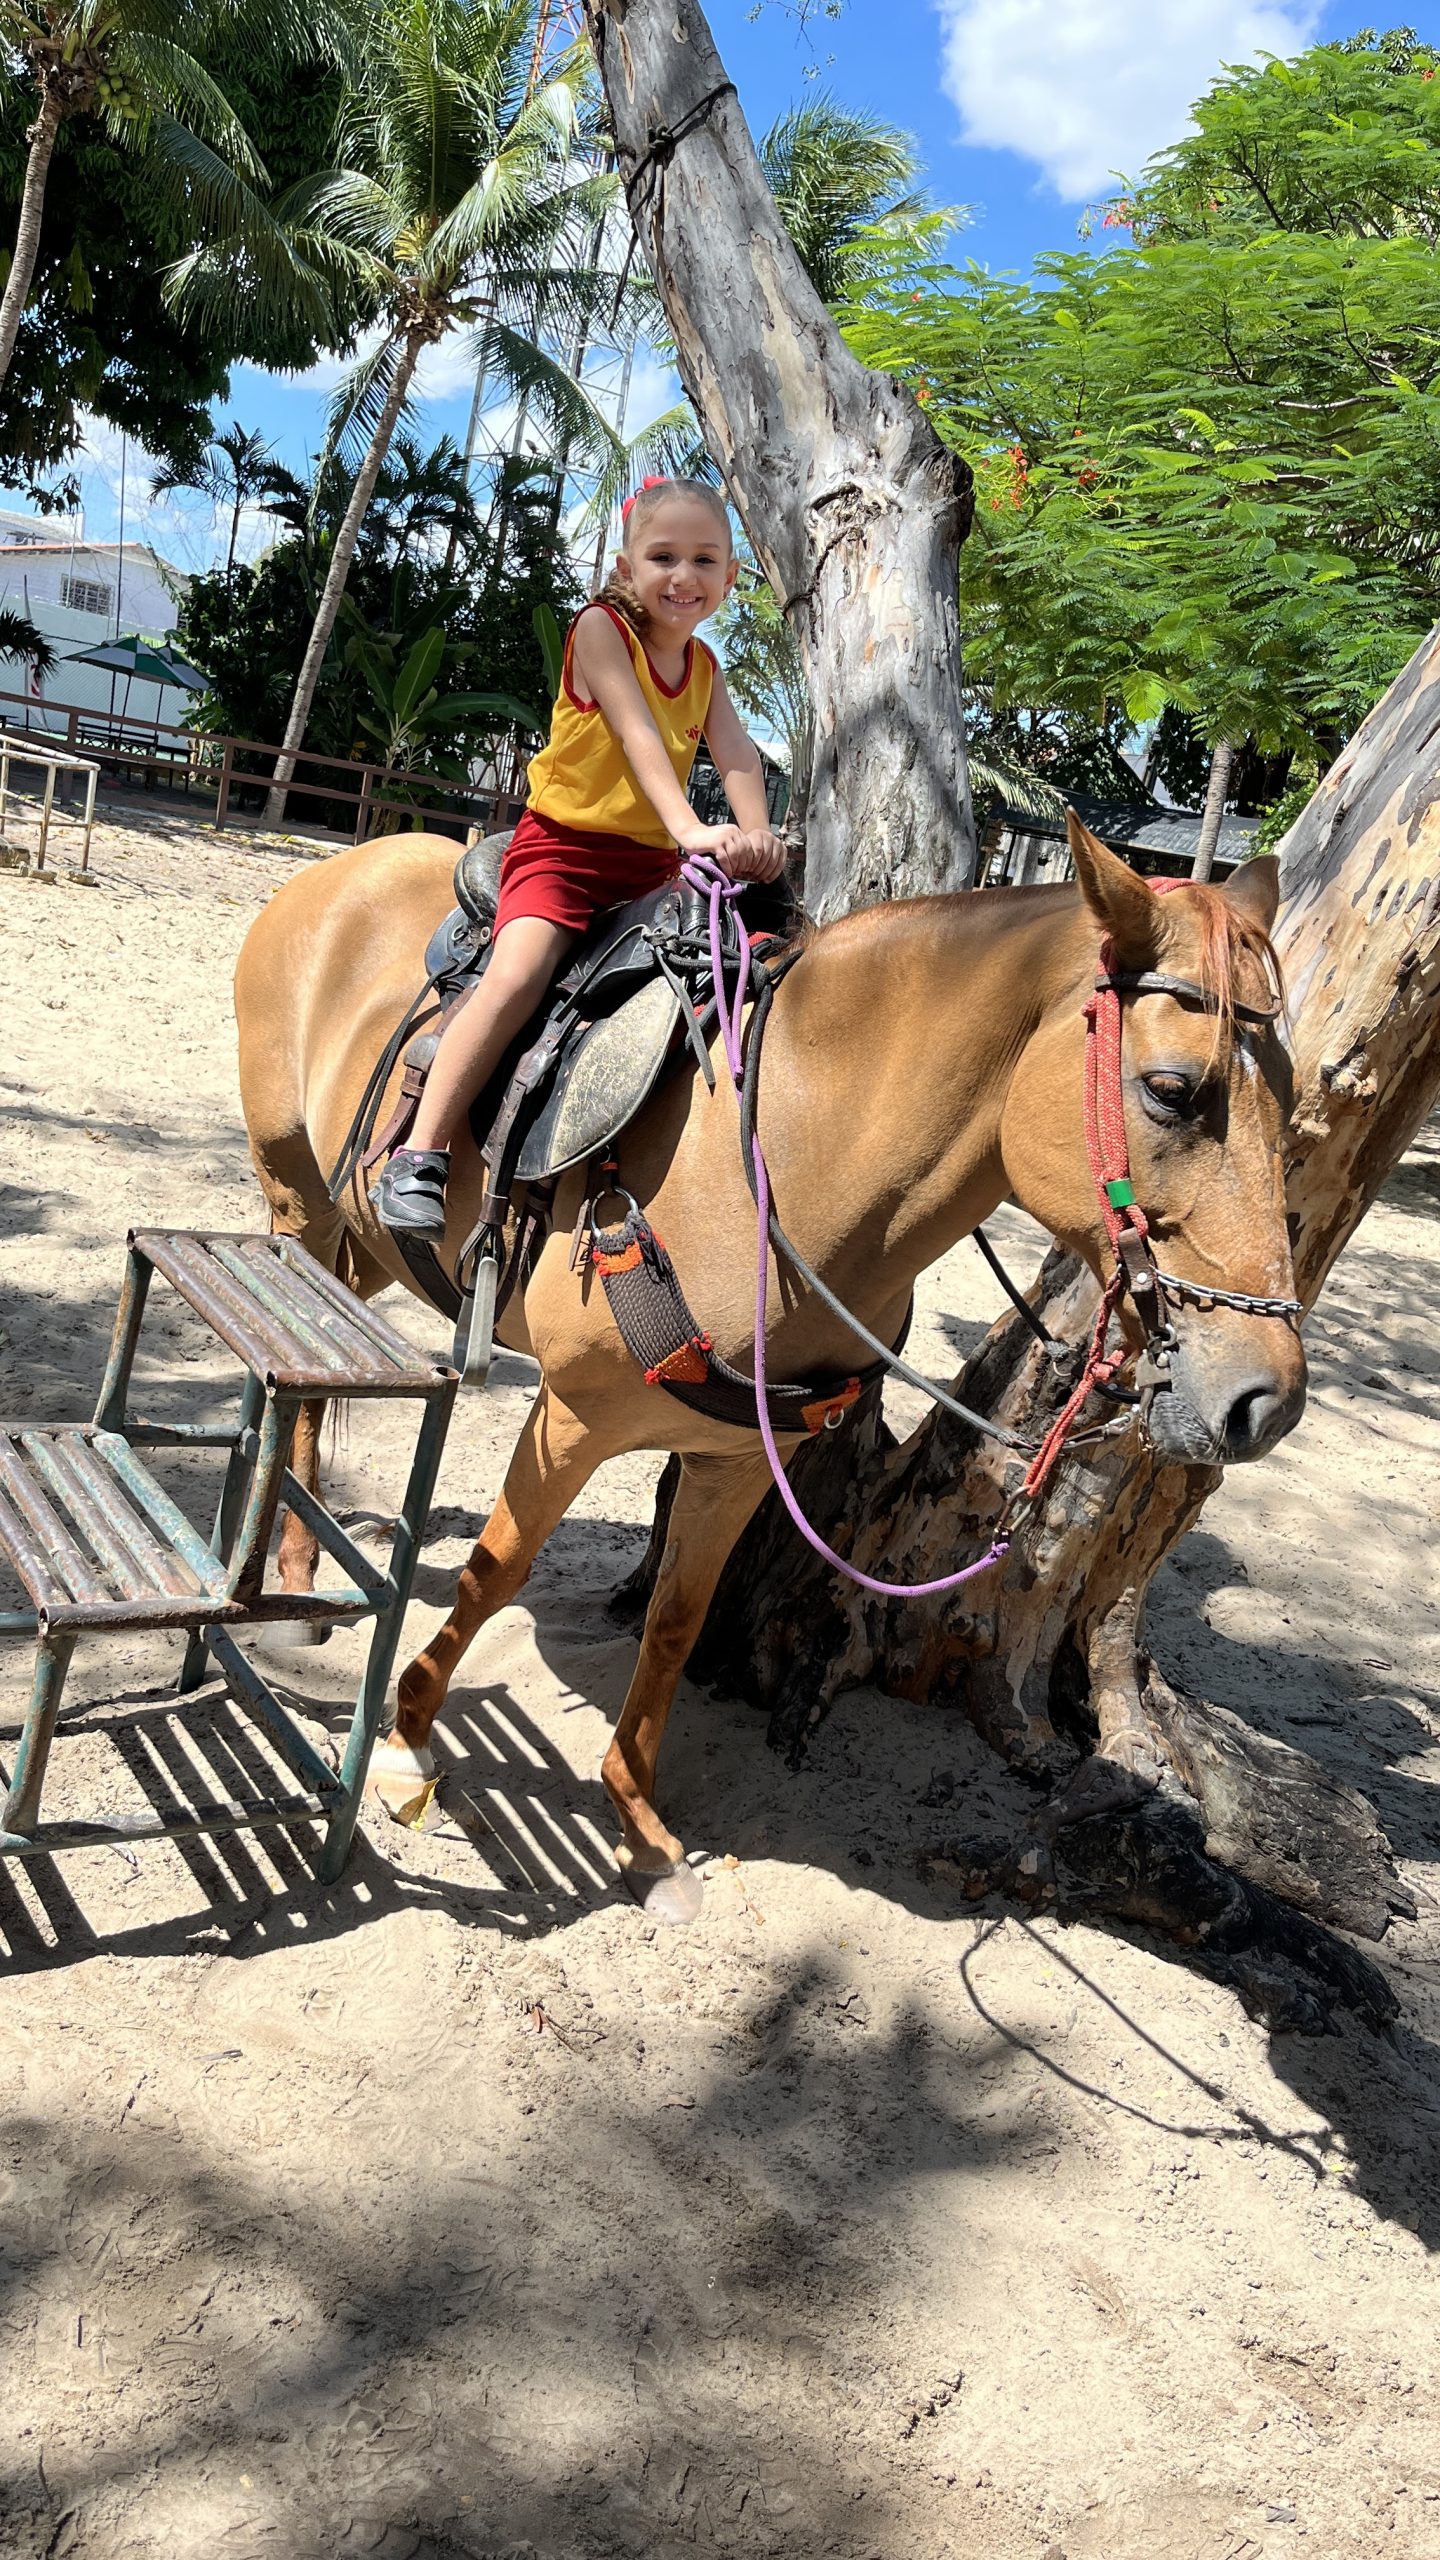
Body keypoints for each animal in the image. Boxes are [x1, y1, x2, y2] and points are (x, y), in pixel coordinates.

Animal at [235, 813, 1306, 1922]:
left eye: (1296, 1103)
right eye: (1172, 1090)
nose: (1264, 1400)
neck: (778, 1161)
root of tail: (344, 867)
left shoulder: (739, 1456)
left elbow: (675, 1621)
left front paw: (641, 1832)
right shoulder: (574, 1416)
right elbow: (498, 1573)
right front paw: (406, 1744)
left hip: (355, 1237)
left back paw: (300, 1561)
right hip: (298, 1199)